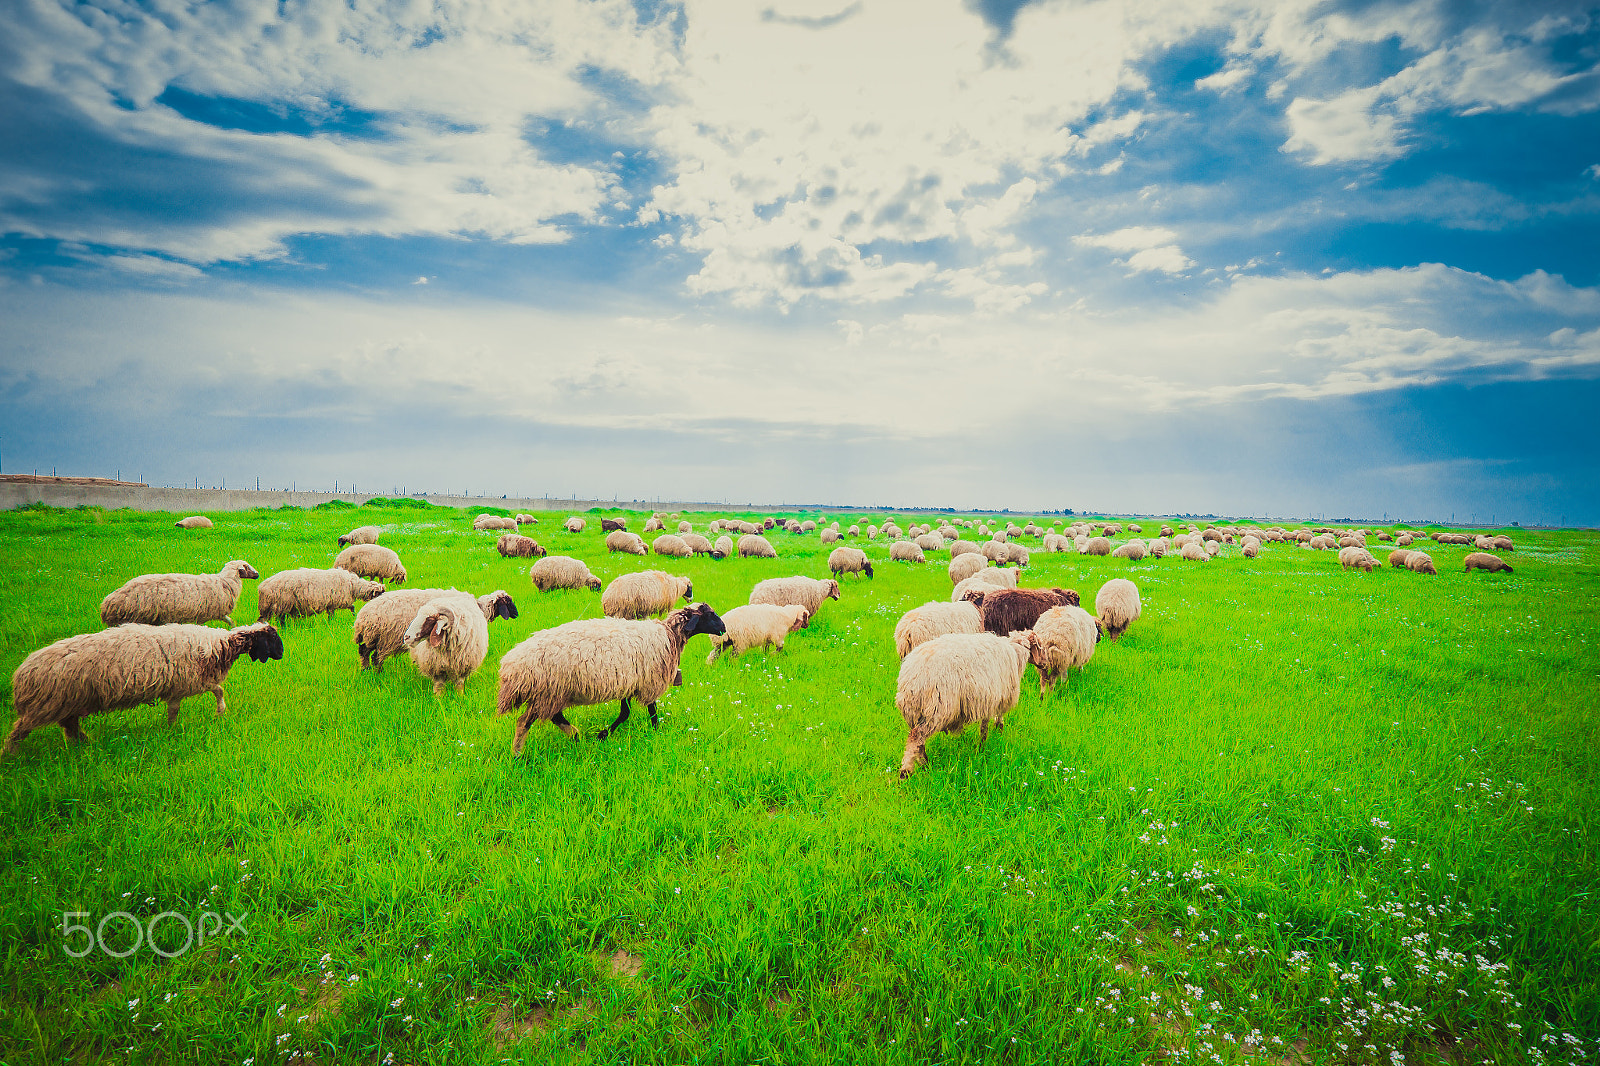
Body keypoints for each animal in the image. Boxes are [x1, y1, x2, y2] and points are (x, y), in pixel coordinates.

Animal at [5, 622, 284, 751]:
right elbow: (212, 694)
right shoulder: (186, 683)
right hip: (45, 704)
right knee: (19, 731)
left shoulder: (187, 684)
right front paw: (216, 714)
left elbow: (211, 693)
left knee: (70, 727)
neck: (220, 645)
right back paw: (10, 754)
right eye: (271, 637)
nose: (281, 655)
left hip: (67, 702)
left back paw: (86, 743)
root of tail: (22, 673)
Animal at [100, 560, 261, 627]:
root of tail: (108, 603)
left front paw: (232, 628)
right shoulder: (210, 611)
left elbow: (230, 621)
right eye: (247, 567)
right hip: (135, 616)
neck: (225, 581)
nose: (258, 575)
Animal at [353, 588, 516, 671]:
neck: (480, 607)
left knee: (365, 652)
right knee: (375, 657)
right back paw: (376, 672)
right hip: (384, 638)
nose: (517, 614)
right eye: (508, 602)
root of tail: (362, 618)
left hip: (372, 638)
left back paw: (367, 670)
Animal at [497, 603, 726, 751]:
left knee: (554, 717)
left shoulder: (629, 681)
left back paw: (576, 736)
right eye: (709, 614)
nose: (724, 628)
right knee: (524, 722)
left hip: (550, 694)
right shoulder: (648, 681)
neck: (669, 634)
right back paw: (518, 754)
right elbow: (650, 711)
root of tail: (511, 666)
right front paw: (655, 731)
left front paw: (603, 734)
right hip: (548, 691)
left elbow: (625, 712)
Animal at [895, 632, 1032, 779]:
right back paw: (907, 771)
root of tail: (911, 677)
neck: (1014, 653)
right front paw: (984, 744)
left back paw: (925, 764)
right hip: (936, 709)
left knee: (919, 744)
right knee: (915, 738)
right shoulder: (993, 698)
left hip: (914, 712)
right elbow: (986, 726)